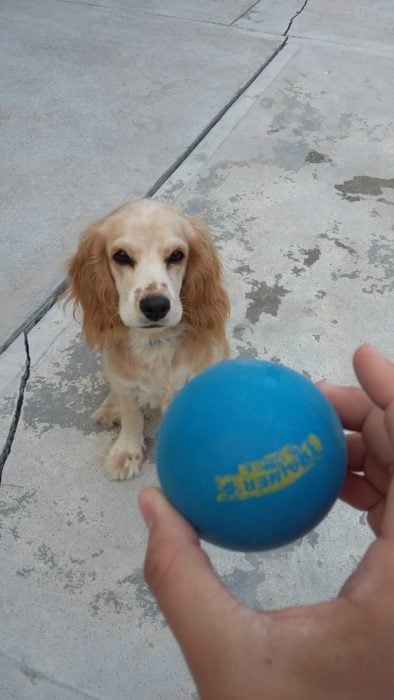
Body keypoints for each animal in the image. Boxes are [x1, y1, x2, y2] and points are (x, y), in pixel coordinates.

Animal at [66, 200, 229, 478]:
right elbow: (132, 416)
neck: (155, 343)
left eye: (177, 255)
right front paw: (126, 451)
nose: (155, 306)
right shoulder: (125, 383)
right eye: (121, 256)